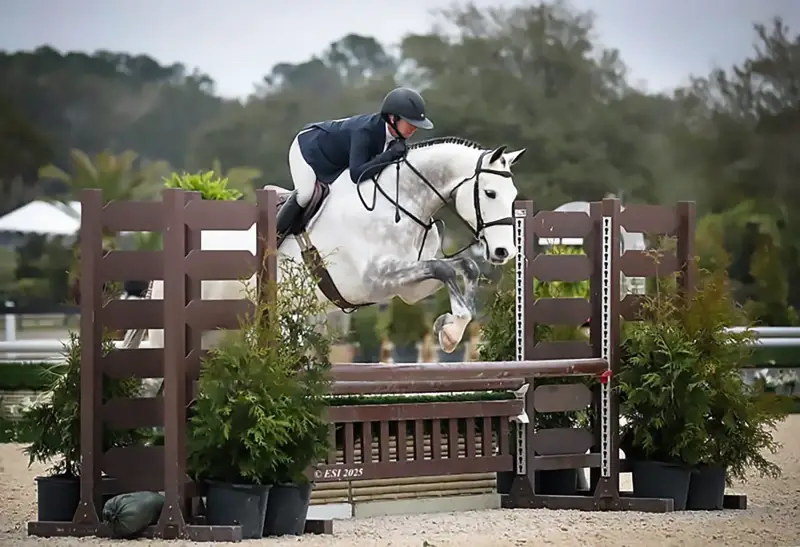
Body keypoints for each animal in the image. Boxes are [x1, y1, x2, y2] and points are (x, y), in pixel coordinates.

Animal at [123, 136, 525, 359]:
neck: (403, 202)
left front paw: (450, 328)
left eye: (513, 195)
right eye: (490, 193)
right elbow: (444, 268)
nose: (505, 253)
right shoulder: (374, 279)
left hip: (223, 332)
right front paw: (451, 331)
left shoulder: (407, 288)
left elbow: (460, 269)